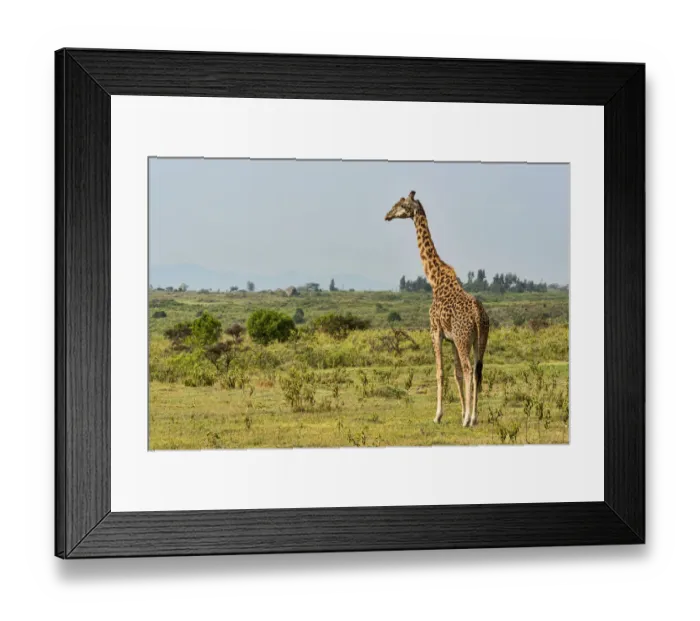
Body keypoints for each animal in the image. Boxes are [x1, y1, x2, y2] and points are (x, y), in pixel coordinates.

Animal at [385, 191, 490, 428]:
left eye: (401, 204)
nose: (387, 215)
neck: (435, 279)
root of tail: (478, 315)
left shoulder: (435, 331)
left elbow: (440, 372)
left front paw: (438, 415)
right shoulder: (451, 338)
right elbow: (455, 373)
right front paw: (462, 412)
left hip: (463, 338)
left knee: (470, 369)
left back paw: (469, 419)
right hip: (480, 339)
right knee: (477, 370)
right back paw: (474, 417)